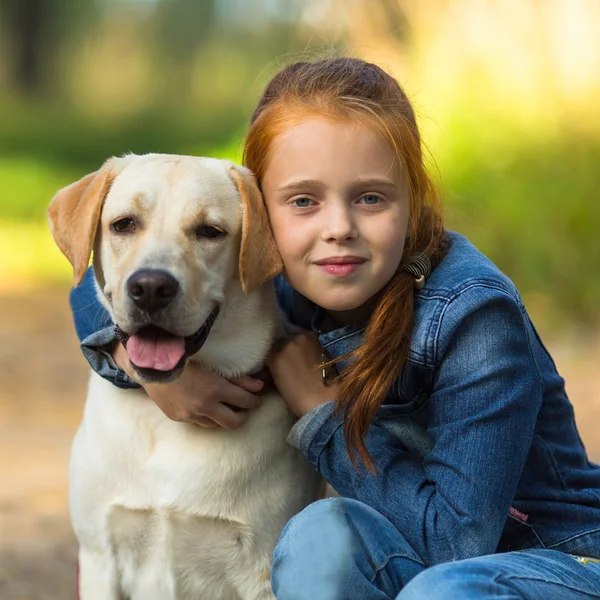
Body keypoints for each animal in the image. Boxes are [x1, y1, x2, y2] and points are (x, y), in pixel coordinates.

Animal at [48, 155, 322, 600]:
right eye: (124, 224)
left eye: (210, 231)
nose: (150, 287)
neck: (167, 425)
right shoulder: (99, 556)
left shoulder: (262, 569)